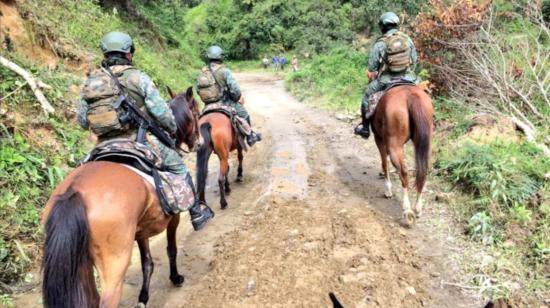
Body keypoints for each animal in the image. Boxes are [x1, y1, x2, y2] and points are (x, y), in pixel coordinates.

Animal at [41, 89, 201, 308]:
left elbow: (147, 263)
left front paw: (143, 298)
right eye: (197, 112)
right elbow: (171, 249)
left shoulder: (141, 231)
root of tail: (74, 192)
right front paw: (175, 277)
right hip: (115, 263)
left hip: (81, 265)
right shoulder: (173, 218)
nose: (199, 143)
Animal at [370, 85, 436, 225]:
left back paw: (407, 209)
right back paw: (418, 208)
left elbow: (384, 163)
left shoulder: (379, 139)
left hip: (393, 146)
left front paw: (388, 191)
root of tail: (410, 96)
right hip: (425, 144)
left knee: (404, 172)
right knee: (422, 172)